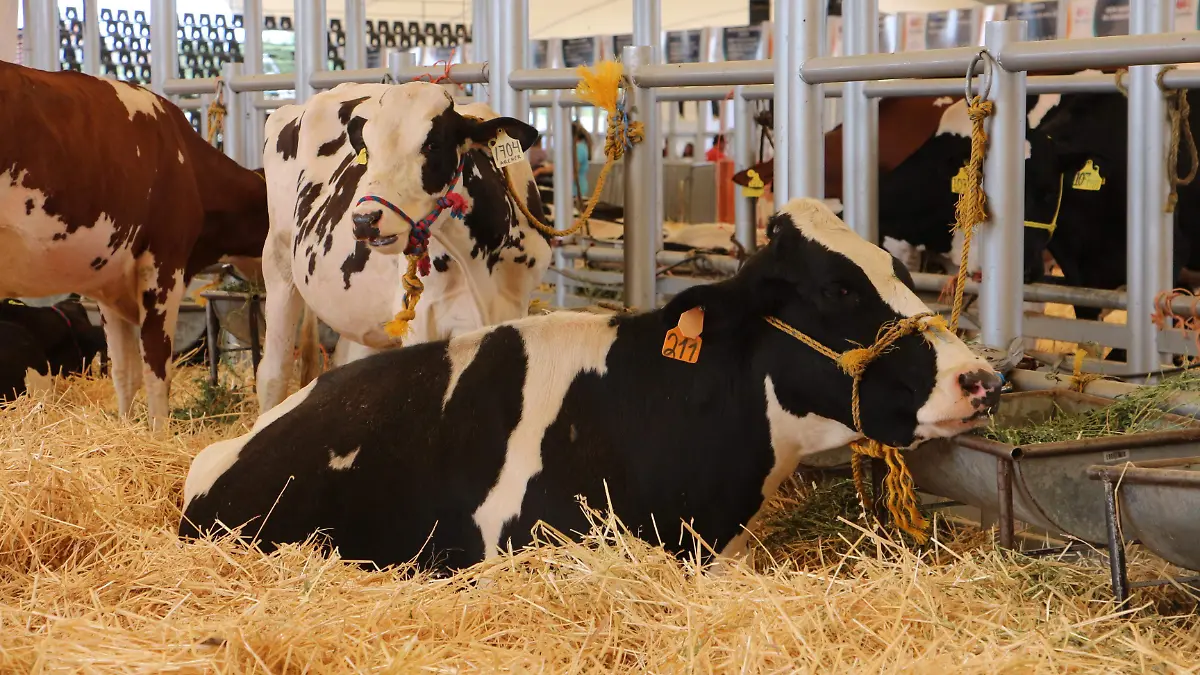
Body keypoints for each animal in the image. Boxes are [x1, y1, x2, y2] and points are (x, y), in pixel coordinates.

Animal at [0, 62, 270, 430]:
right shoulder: (164, 265)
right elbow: (157, 366)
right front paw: (159, 432)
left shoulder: (109, 281)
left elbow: (124, 372)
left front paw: (127, 427)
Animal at [255, 81, 551, 413]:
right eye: (368, 150)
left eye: (433, 145)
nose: (364, 220)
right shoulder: (423, 324)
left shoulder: (513, 308)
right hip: (278, 266)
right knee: (273, 374)